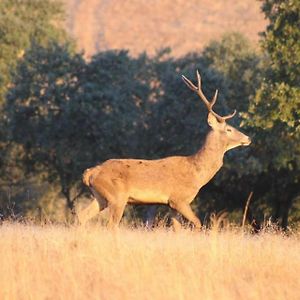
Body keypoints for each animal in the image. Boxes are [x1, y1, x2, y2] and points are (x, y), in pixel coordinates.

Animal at [77, 71, 251, 230]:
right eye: (228, 129)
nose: (248, 138)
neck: (196, 173)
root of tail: (90, 173)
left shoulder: (172, 205)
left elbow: (177, 230)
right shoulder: (178, 199)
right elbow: (197, 223)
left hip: (100, 197)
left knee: (82, 216)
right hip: (117, 196)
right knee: (110, 225)